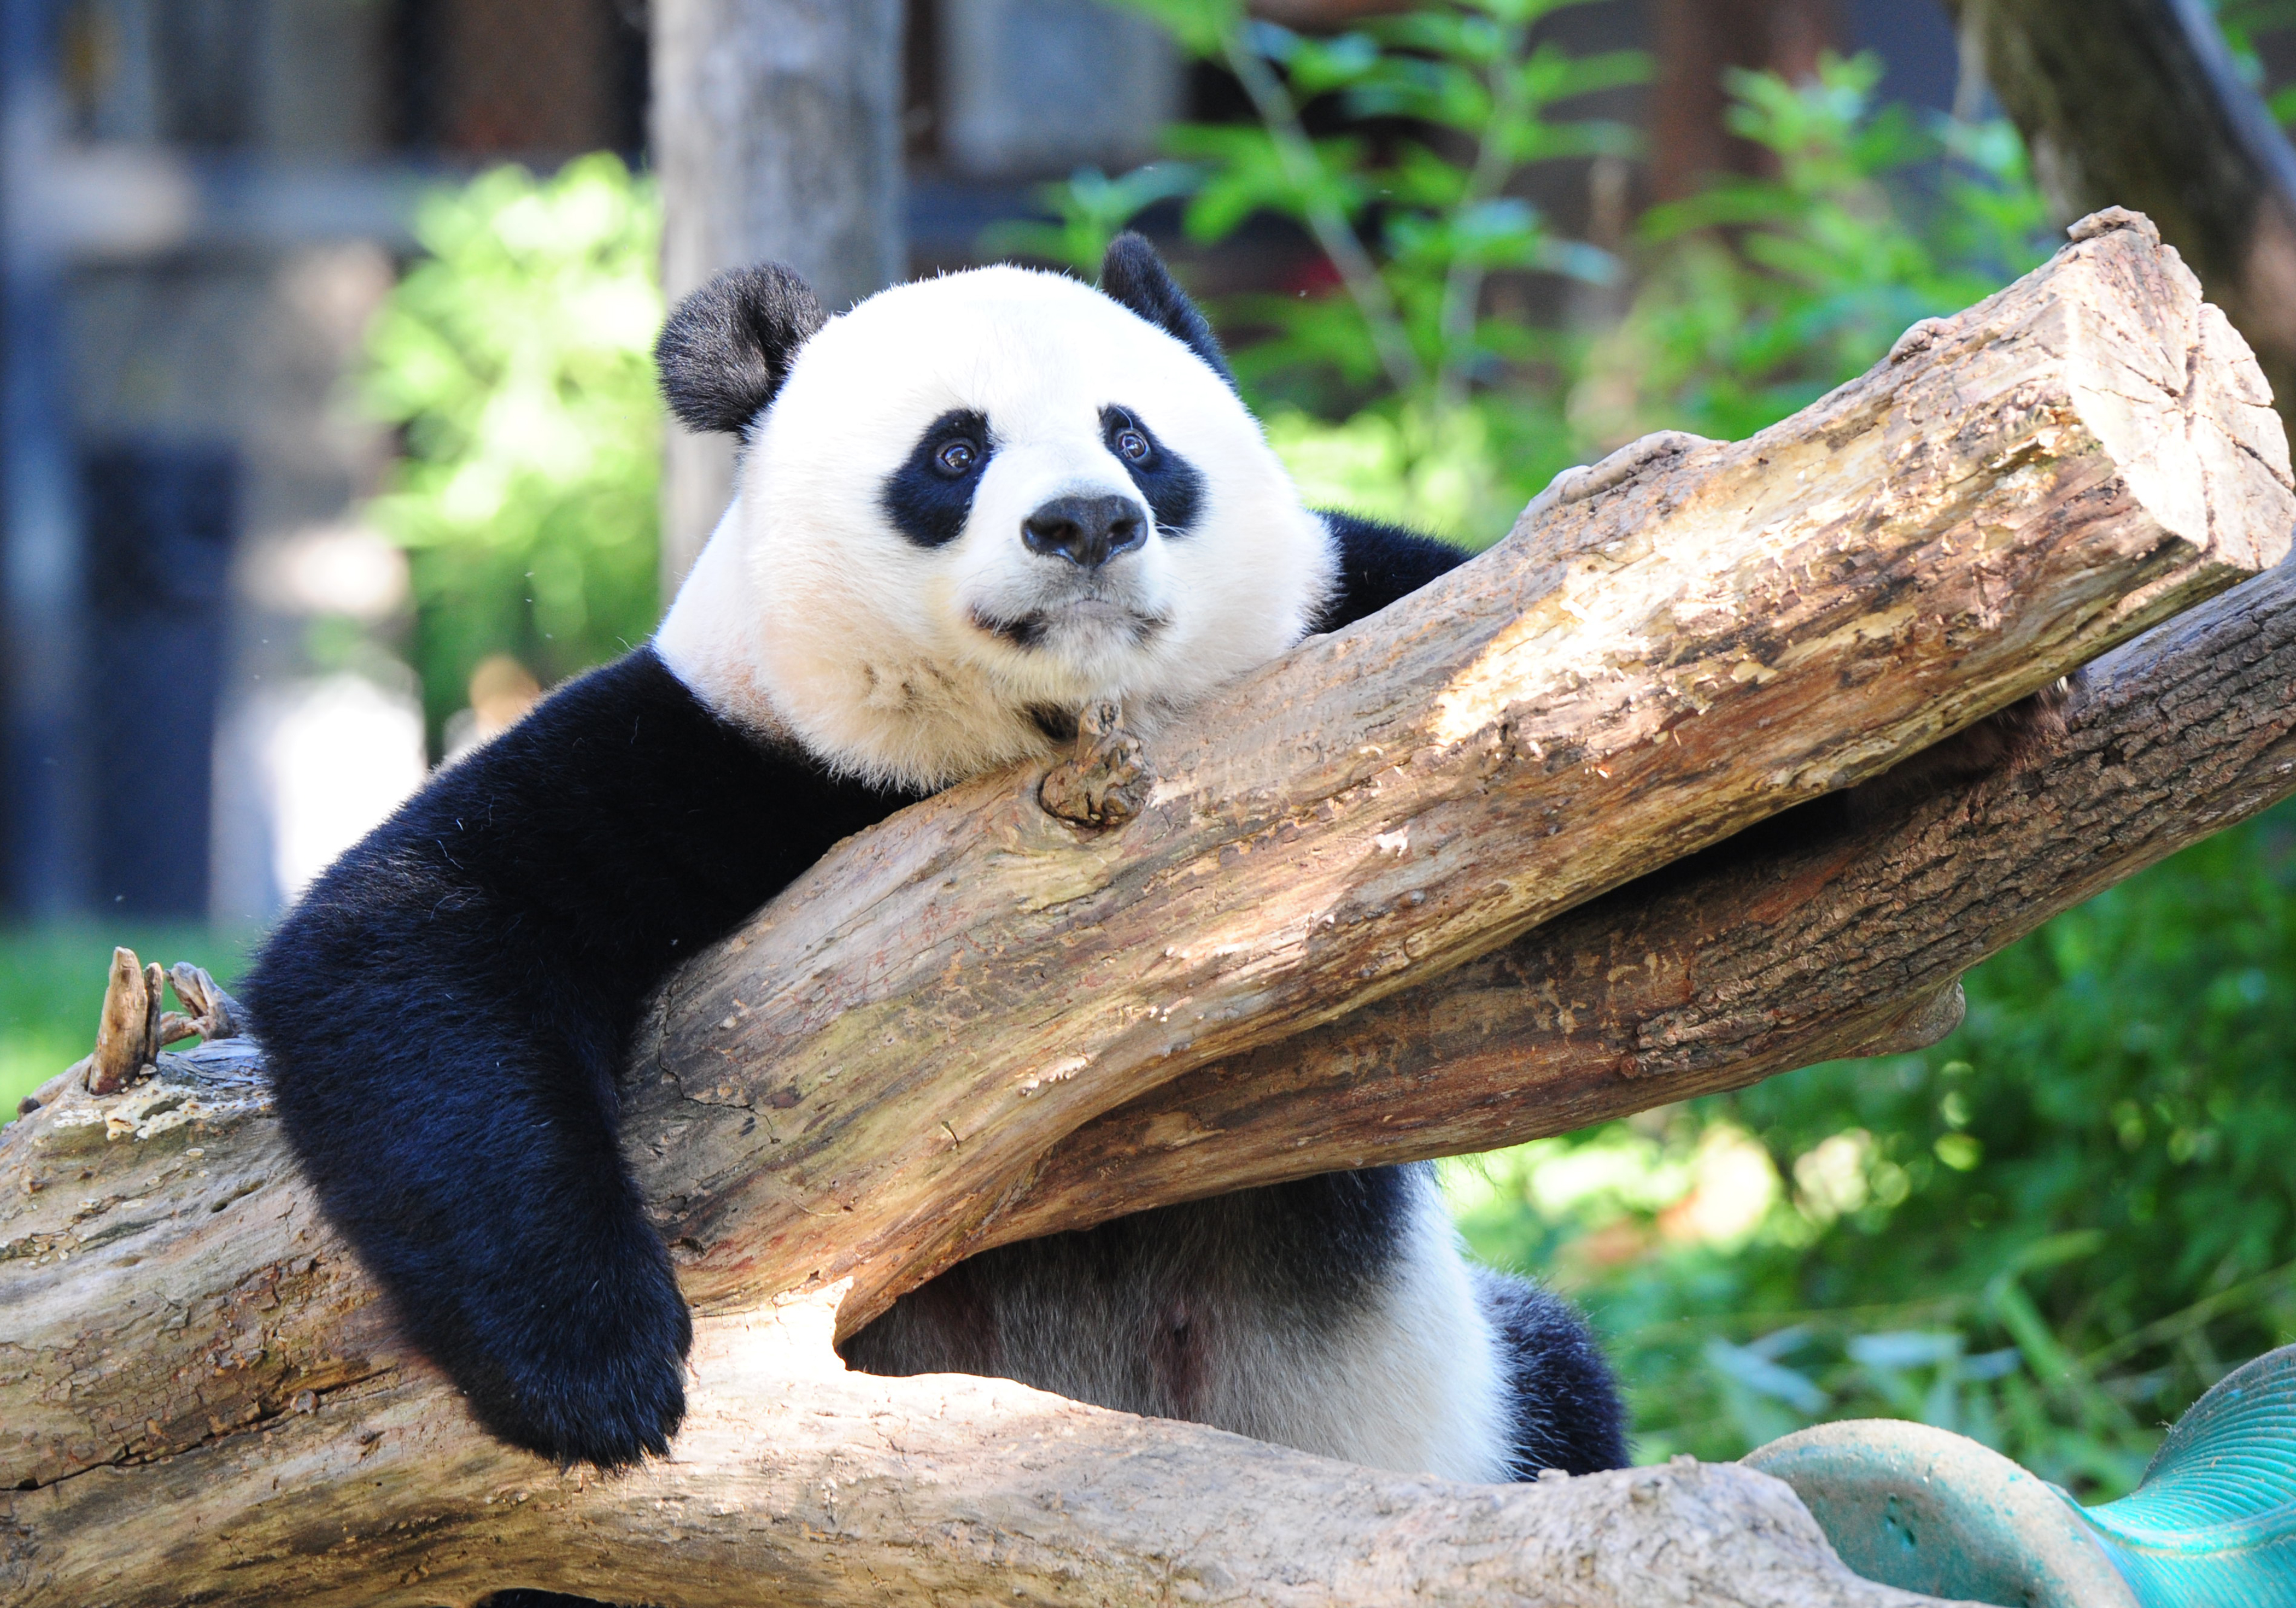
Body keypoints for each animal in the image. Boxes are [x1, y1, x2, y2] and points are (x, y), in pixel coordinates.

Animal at [242, 235, 1625, 1479]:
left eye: (1136, 440)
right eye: (955, 453)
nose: (1088, 522)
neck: (1035, 737)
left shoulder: (1362, 617)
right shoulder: (719, 751)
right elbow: (413, 931)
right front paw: (596, 1368)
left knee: (1567, 1376)